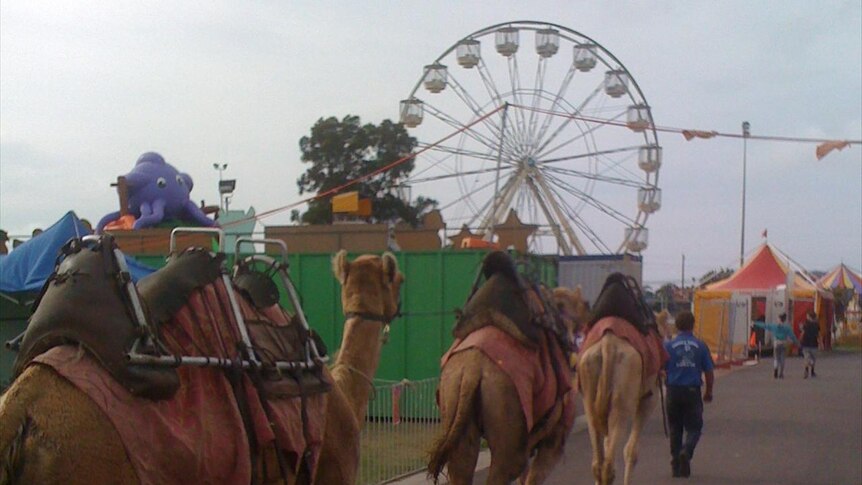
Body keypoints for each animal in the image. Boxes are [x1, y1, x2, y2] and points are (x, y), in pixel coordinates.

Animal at [428, 251, 592, 484]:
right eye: (585, 304)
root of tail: (472, 371)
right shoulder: (554, 439)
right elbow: (533, 476)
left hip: (453, 392)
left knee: (461, 464)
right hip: (506, 400)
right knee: (506, 467)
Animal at [576, 274, 672, 482]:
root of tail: (608, 344)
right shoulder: (648, 400)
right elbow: (631, 452)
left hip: (589, 396)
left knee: (598, 463)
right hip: (623, 401)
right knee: (609, 464)